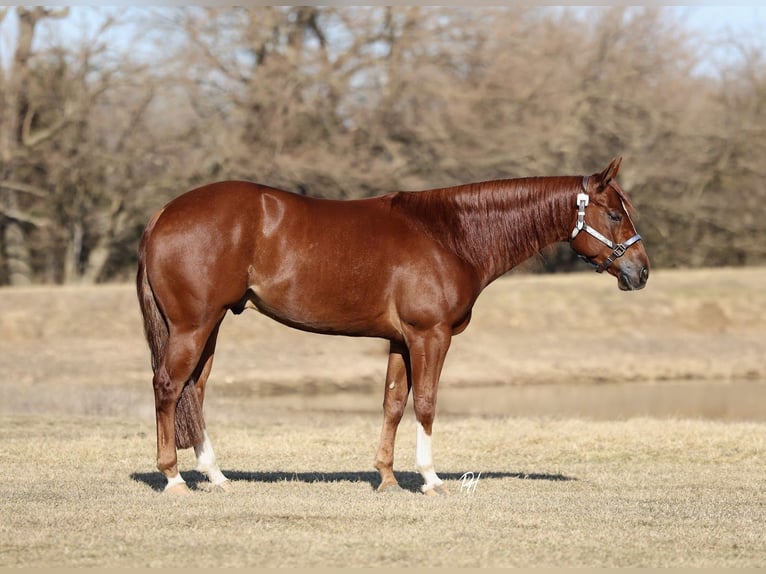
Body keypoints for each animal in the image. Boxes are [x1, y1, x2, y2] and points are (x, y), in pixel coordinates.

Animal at [136, 157, 649, 495]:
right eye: (614, 213)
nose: (641, 272)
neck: (450, 234)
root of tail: (162, 213)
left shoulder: (400, 341)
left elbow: (393, 404)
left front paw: (385, 477)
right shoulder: (429, 335)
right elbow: (426, 404)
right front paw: (430, 479)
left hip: (211, 326)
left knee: (194, 390)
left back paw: (217, 476)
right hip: (194, 325)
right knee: (168, 386)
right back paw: (174, 478)